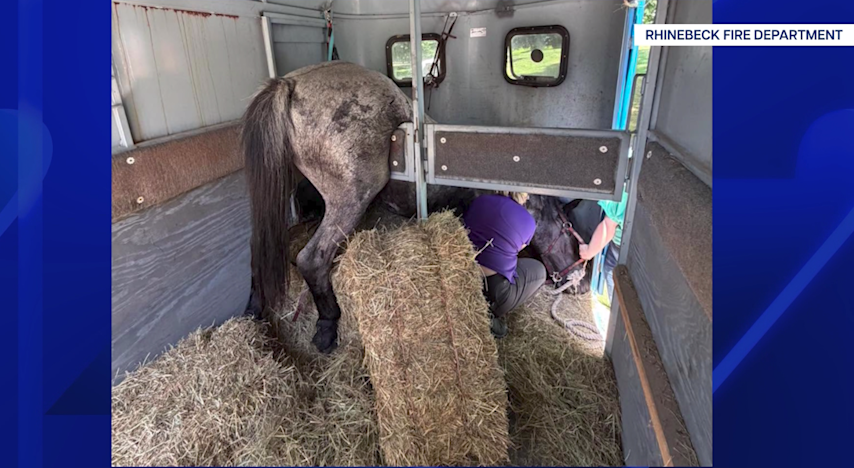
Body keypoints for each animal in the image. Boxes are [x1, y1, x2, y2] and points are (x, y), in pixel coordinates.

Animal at [243, 61, 586, 353]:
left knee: (264, 246)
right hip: (349, 202)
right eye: (568, 228)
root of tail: (289, 83)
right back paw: (327, 325)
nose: (580, 283)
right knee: (312, 259)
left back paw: (255, 307)